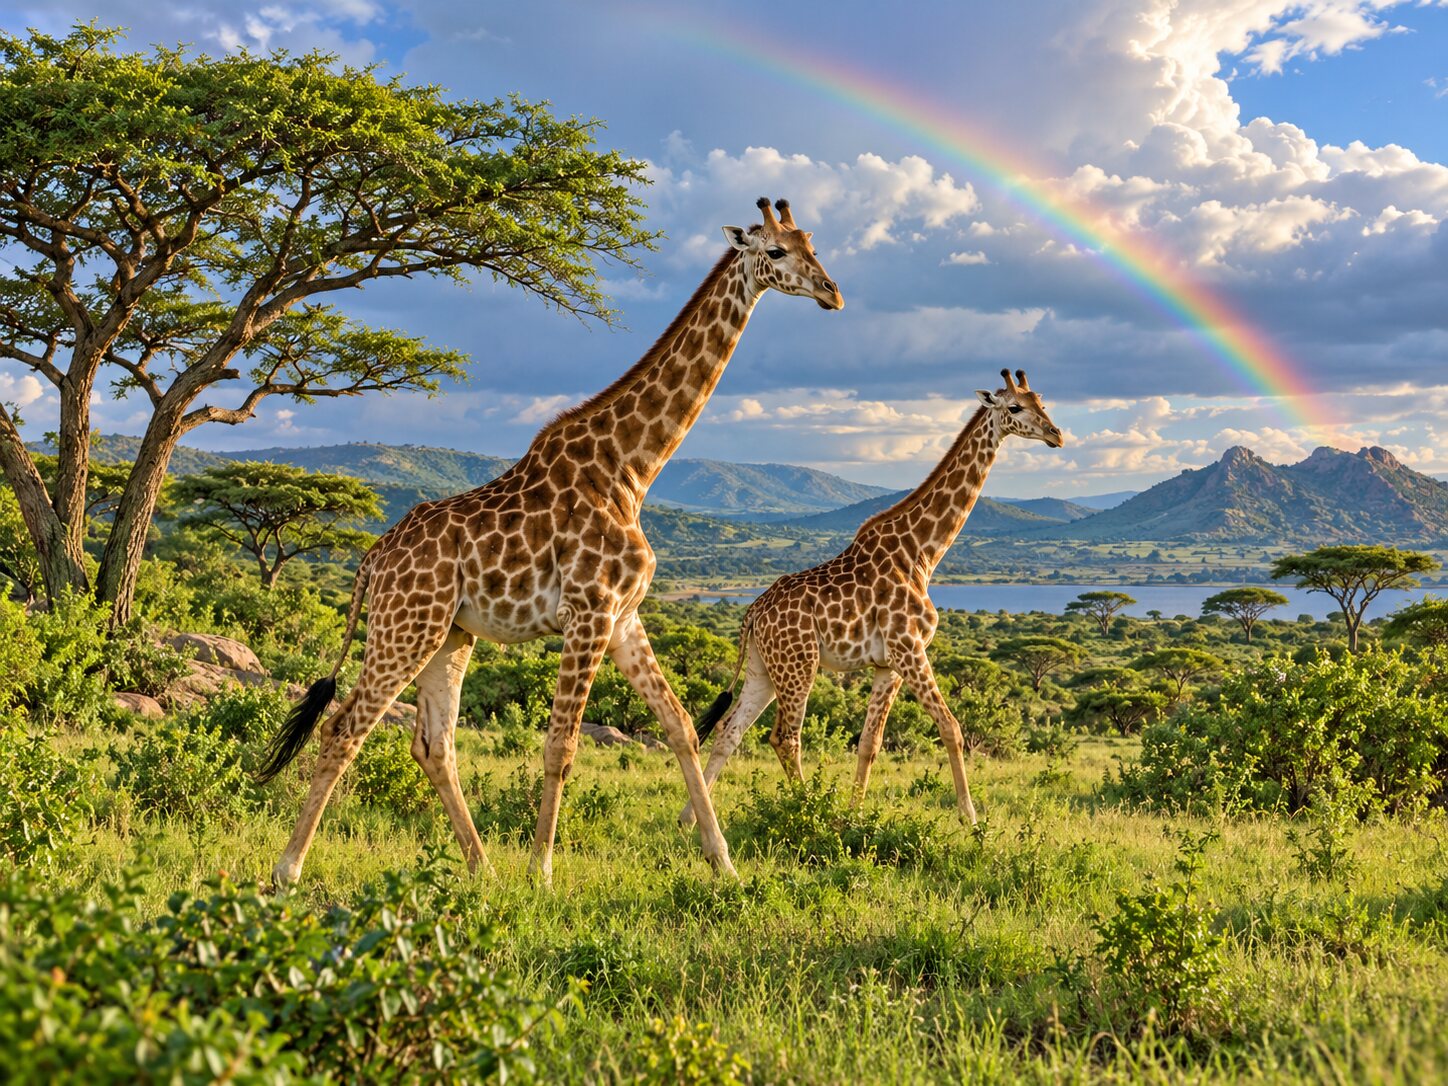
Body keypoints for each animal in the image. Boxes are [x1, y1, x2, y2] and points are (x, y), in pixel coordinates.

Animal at [257, 197, 844, 887]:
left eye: (812, 243)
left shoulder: (623, 616)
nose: (832, 293)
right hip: (407, 628)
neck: (632, 468)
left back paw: (482, 868)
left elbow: (680, 726)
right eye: (776, 251)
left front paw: (722, 862)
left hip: (449, 636)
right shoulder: (588, 612)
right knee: (345, 727)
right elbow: (561, 744)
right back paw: (288, 869)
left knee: (433, 743)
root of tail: (372, 561)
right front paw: (542, 873)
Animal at [681, 369, 1062, 828]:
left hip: (763, 669)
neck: (922, 553)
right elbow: (950, 726)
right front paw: (970, 817)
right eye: (1015, 407)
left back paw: (691, 820)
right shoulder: (909, 648)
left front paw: (855, 814)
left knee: (729, 732)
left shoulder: (888, 665)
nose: (1057, 435)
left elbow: (869, 742)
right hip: (798, 666)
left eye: (1043, 402)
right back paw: (808, 811)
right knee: (785, 737)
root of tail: (752, 612)